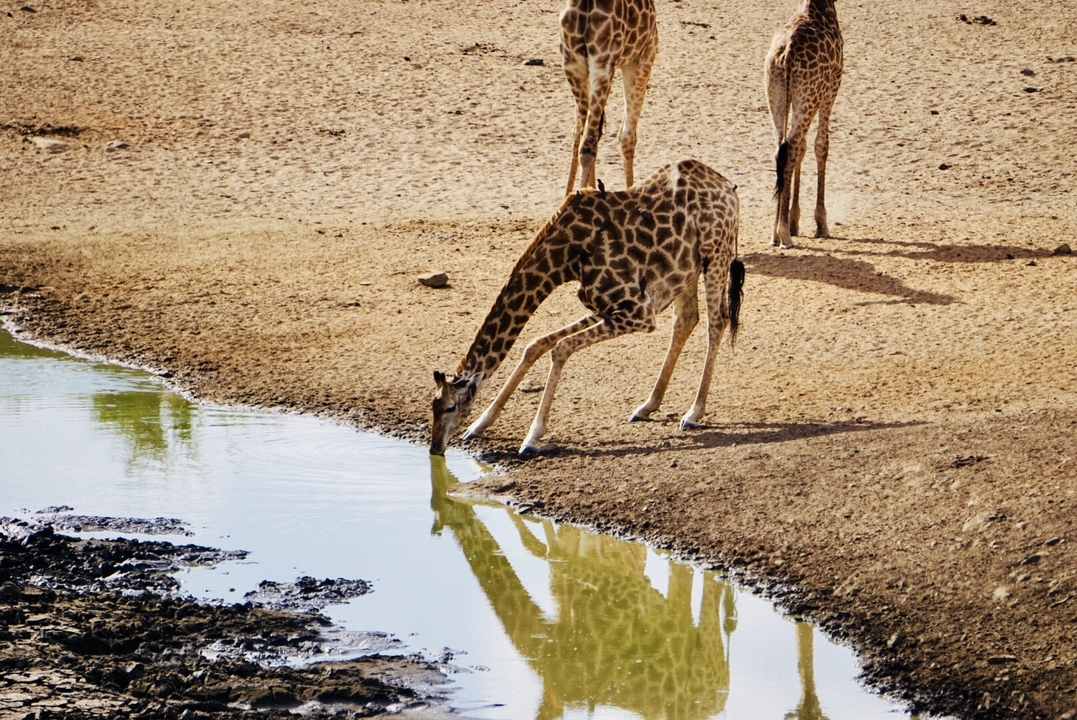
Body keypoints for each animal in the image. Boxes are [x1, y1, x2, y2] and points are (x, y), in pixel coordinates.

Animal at [430, 159, 744, 457]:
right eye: (433, 406)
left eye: (450, 408)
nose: (435, 448)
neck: (565, 257)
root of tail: (727, 187)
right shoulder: (606, 306)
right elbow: (535, 344)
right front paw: (479, 425)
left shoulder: (638, 313)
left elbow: (561, 348)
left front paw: (531, 438)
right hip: (686, 270)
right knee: (686, 319)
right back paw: (647, 406)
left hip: (716, 252)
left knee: (717, 321)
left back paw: (694, 413)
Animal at [560, 0, 658, 196]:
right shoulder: (645, 54)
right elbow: (627, 136)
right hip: (604, 65)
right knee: (589, 144)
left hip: (573, 66)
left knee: (579, 137)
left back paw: (571, 195)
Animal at [764, 0, 843, 248]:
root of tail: (787, 54)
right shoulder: (832, 85)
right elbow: (820, 145)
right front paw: (820, 223)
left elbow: (802, 149)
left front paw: (794, 220)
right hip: (810, 94)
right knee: (793, 145)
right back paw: (783, 234)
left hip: (777, 95)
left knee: (782, 148)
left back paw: (775, 233)